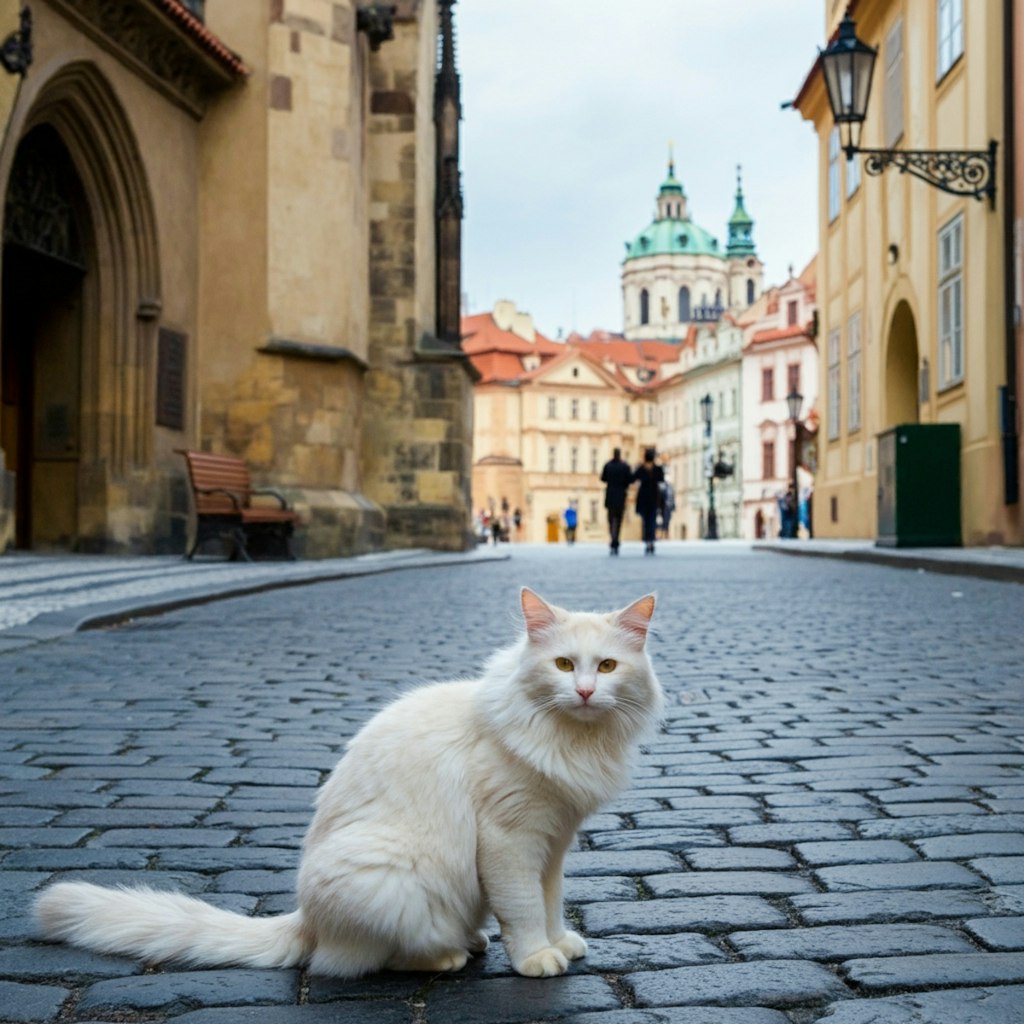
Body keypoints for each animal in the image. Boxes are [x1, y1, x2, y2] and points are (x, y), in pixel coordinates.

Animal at [34, 585, 663, 974]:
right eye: (563, 665)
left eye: (607, 666)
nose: (585, 691)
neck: (575, 741)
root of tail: (305, 918)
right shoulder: (510, 841)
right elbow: (525, 908)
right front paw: (535, 958)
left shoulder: (554, 841)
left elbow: (552, 901)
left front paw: (560, 943)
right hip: (392, 877)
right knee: (357, 960)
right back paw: (449, 955)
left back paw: (473, 940)